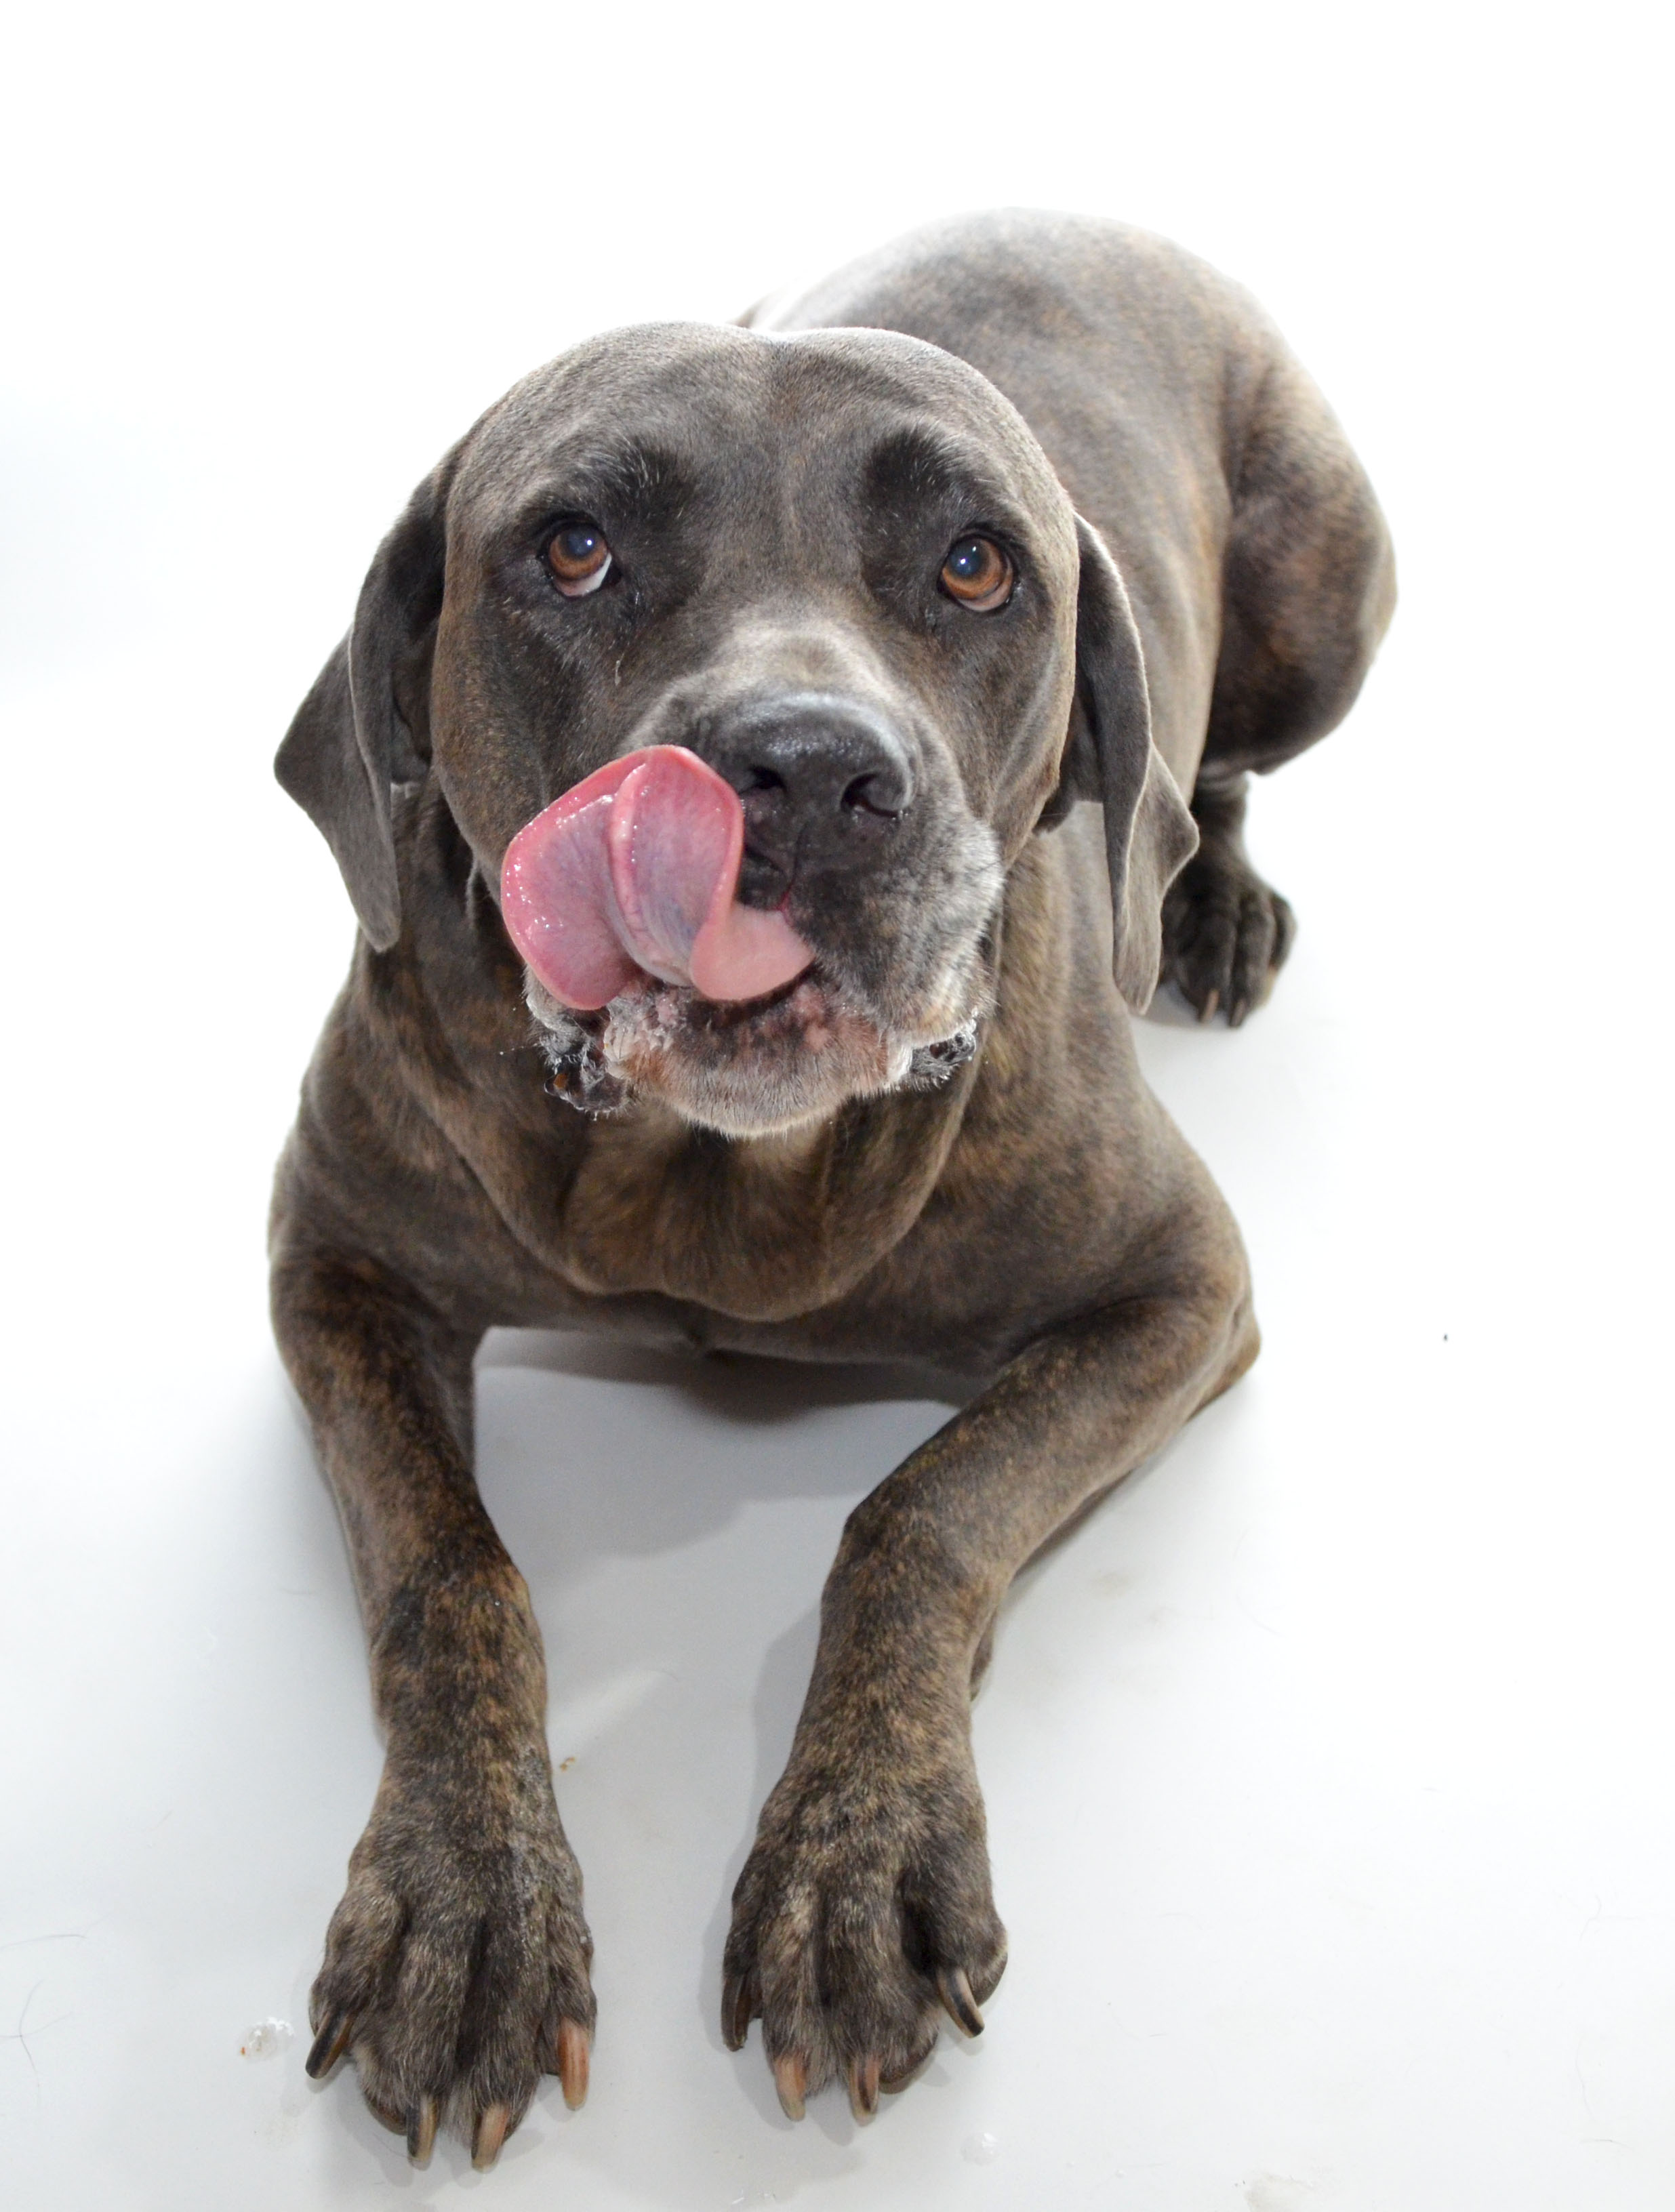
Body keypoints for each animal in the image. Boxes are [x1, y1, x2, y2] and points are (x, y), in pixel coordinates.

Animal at [271, 208, 1394, 2168]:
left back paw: (1211, 893)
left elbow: (920, 1515)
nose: (803, 771)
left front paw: (859, 1865)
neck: (707, 1174)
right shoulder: (331, 1259)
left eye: (974, 567)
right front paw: (466, 1901)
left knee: (1217, 776)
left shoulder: (1178, 1288)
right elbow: (448, 1567)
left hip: (1330, 600)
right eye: (573, 547)